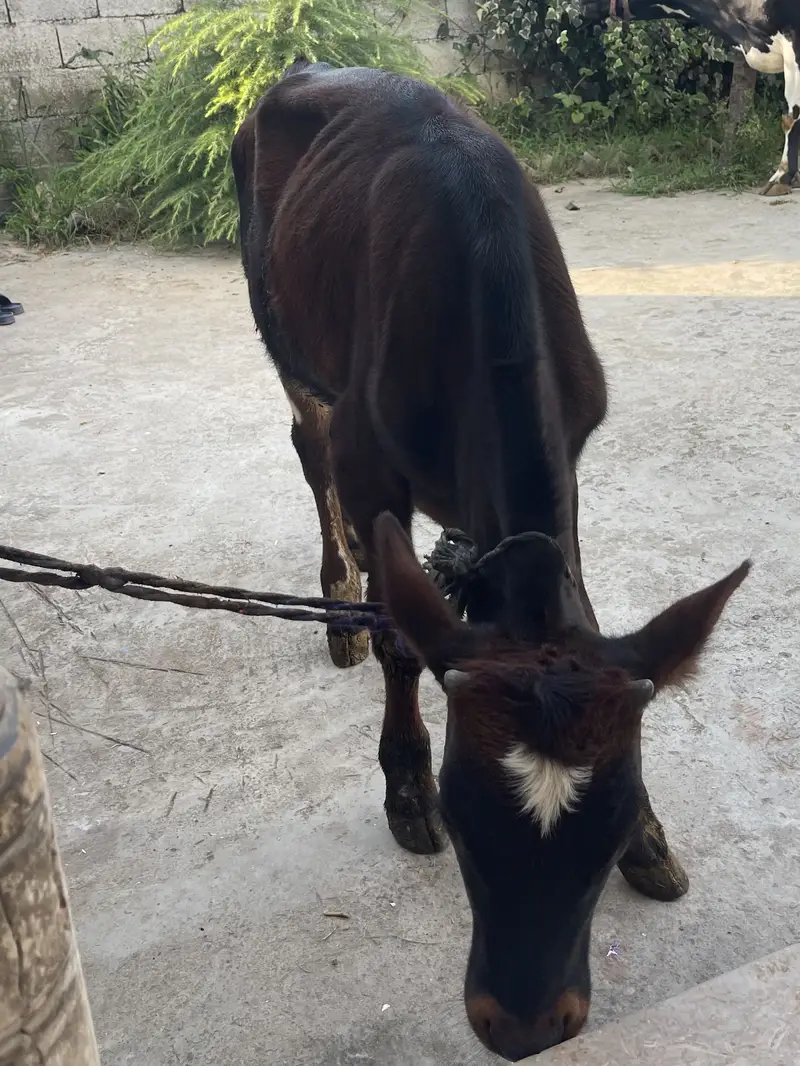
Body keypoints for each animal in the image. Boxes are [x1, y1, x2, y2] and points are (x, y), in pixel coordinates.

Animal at [232, 60, 748, 1060]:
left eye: (607, 830)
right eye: (465, 819)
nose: (525, 1025)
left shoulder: (576, 445)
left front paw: (652, 840)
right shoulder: (370, 457)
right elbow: (400, 636)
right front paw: (404, 787)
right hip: (282, 329)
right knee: (306, 446)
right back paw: (338, 600)